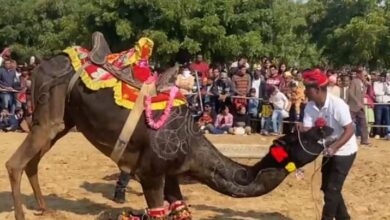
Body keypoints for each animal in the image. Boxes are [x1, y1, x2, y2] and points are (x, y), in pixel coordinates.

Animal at [4, 53, 334, 220]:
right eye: (297, 138)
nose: (325, 128)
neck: (193, 149)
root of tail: (43, 64)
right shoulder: (151, 174)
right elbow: (157, 211)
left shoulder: (173, 175)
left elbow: (181, 210)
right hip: (49, 112)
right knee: (14, 163)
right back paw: (22, 214)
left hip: (62, 121)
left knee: (34, 159)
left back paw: (45, 209)